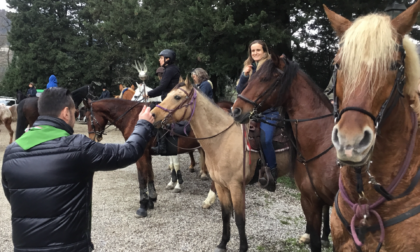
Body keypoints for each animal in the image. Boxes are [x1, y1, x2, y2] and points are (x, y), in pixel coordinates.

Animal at [151, 80, 292, 252]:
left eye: (177, 97)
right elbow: (225, 215)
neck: (223, 139)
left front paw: (243, 247)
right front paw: (223, 243)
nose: (153, 114)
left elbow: (240, 219)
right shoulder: (221, 185)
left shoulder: (236, 187)